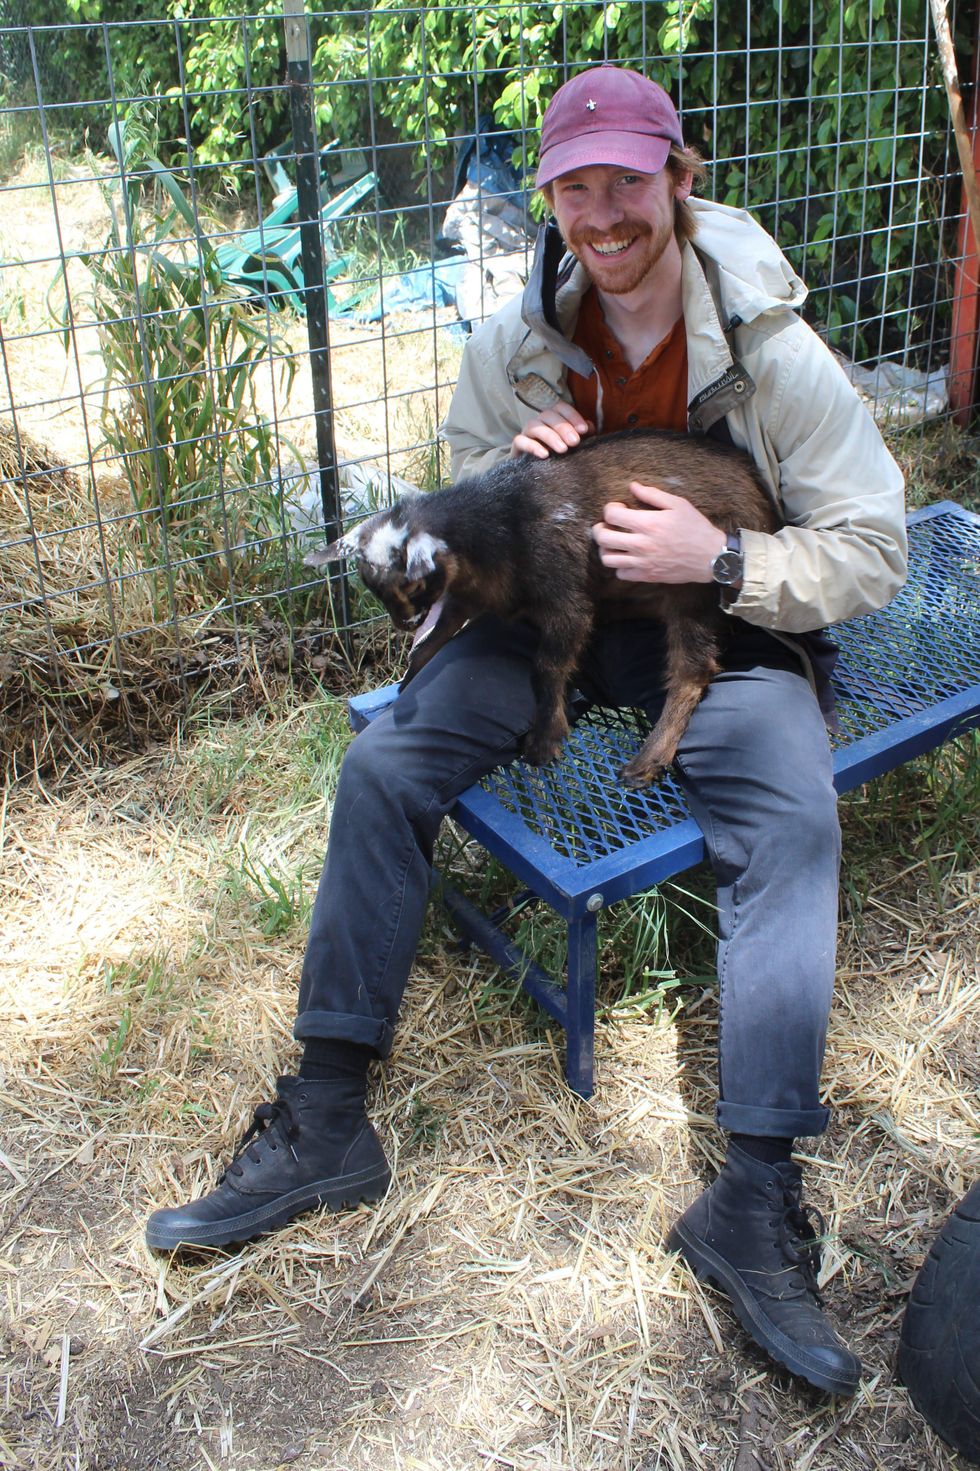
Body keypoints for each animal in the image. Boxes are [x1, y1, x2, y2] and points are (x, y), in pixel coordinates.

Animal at [306, 426, 776, 788]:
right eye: (372, 588)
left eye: (415, 583)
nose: (405, 622)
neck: (502, 518)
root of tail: (764, 507)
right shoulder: (468, 594)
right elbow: (431, 643)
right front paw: (404, 686)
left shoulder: (565, 596)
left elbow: (546, 665)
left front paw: (544, 740)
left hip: (688, 583)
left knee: (692, 672)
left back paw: (646, 762)